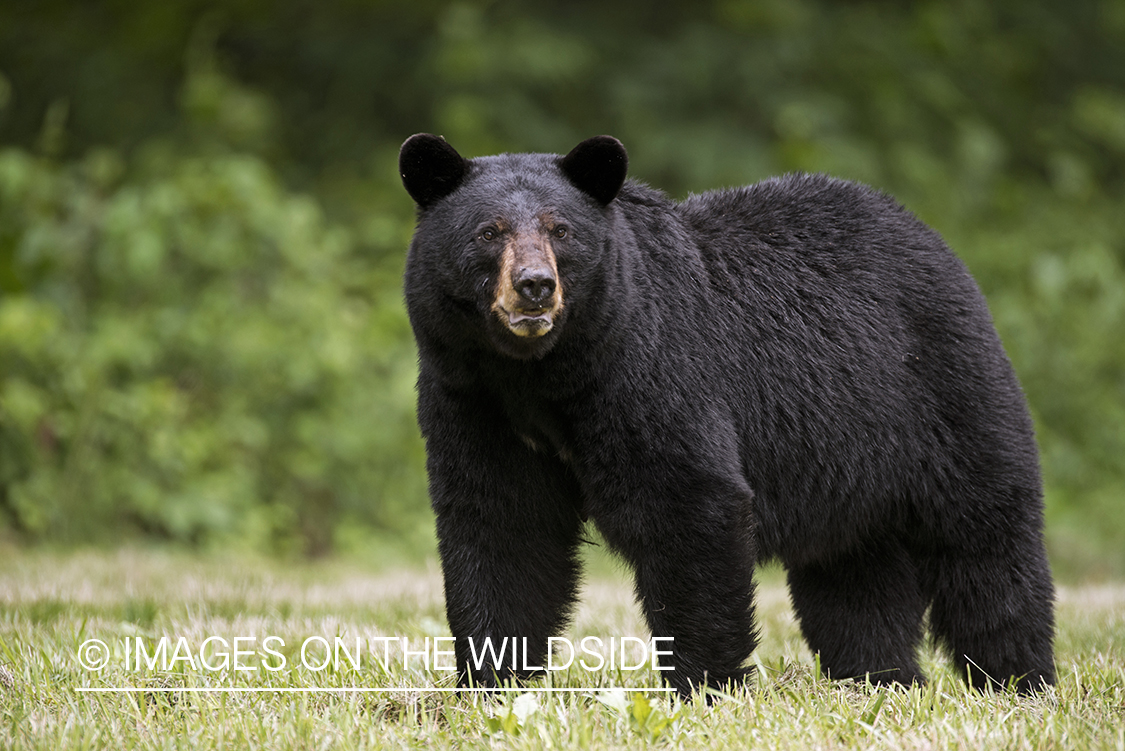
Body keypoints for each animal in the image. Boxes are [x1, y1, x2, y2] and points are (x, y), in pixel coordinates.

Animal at [398, 133, 1056, 699]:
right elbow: (501, 525)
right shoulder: (471, 399)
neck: (541, 375)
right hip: (850, 455)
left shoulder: (650, 371)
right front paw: (492, 682)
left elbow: (690, 504)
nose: (534, 286)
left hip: (941, 391)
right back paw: (880, 678)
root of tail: (930, 236)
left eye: (561, 230)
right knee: (853, 571)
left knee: (984, 536)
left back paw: (1016, 679)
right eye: (489, 231)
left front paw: (704, 684)